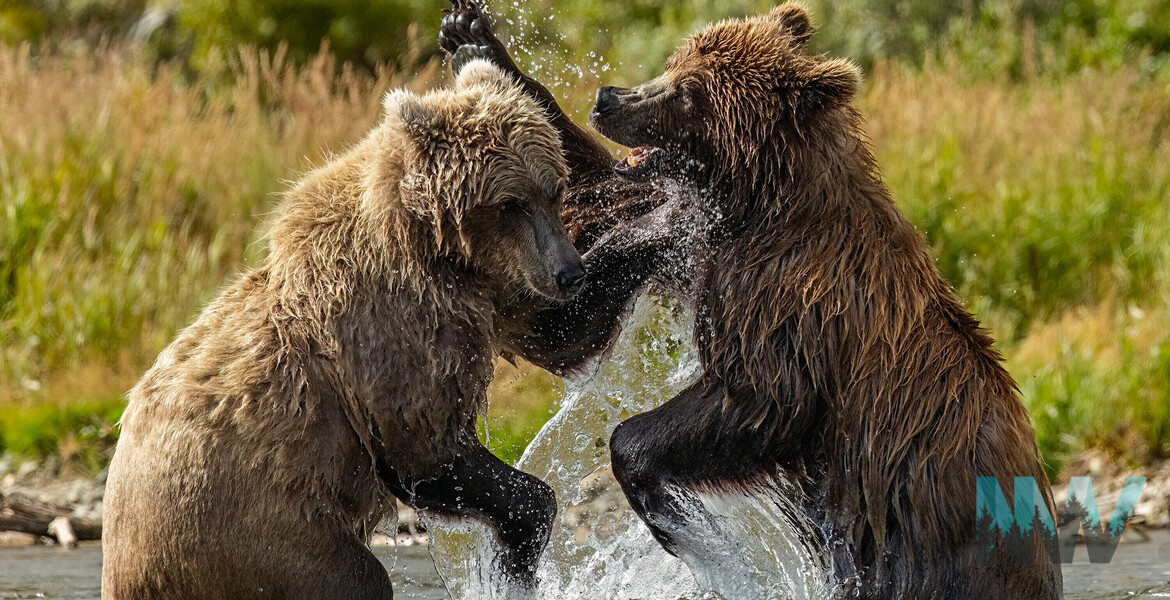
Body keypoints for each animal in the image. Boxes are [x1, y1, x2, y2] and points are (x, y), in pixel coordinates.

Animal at [102, 60, 589, 599]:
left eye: (554, 189)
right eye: (510, 202)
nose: (570, 272)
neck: (437, 256)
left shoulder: (482, 306)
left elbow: (562, 336)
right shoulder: (391, 329)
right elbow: (426, 451)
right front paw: (519, 549)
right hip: (251, 531)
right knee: (354, 578)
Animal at [440, 3, 1064, 599]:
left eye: (689, 91)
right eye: (676, 62)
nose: (608, 98)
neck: (750, 207)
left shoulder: (794, 303)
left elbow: (761, 396)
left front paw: (686, 528)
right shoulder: (677, 238)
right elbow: (576, 295)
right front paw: (475, 41)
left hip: (928, 539)